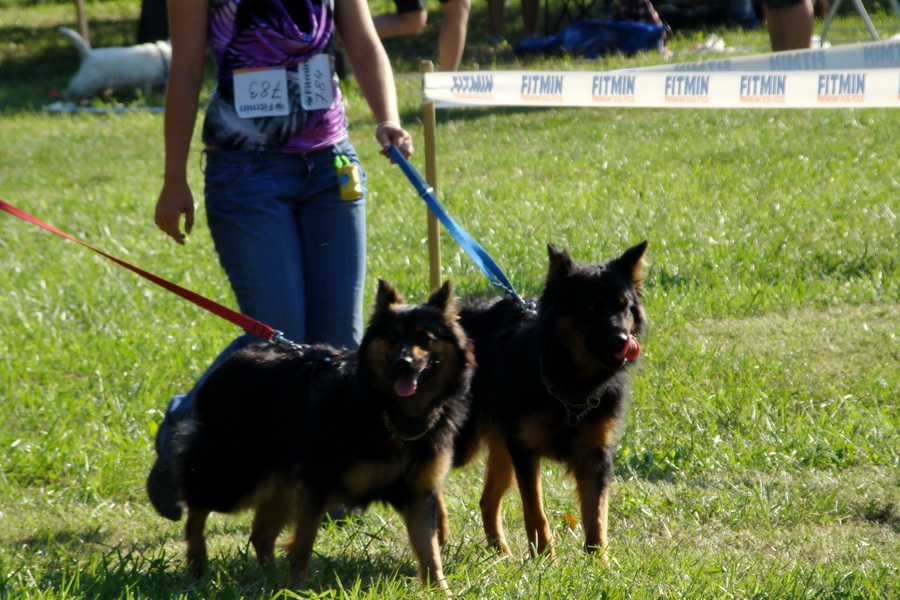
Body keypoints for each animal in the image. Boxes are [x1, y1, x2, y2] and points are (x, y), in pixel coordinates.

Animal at [171, 278, 474, 592]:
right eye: (392, 337)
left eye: (425, 339)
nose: (403, 362)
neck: (389, 410)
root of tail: (230, 362)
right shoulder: (319, 484)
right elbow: (304, 542)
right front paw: (297, 588)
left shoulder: (418, 494)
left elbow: (430, 552)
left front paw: (441, 591)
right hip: (234, 477)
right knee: (197, 507)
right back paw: (197, 562)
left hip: (281, 484)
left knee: (260, 535)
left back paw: (270, 579)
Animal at [454, 240, 652, 564]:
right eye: (590, 307)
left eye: (623, 305)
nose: (621, 340)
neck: (571, 384)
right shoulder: (524, 450)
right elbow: (535, 510)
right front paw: (545, 558)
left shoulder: (595, 455)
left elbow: (596, 514)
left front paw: (598, 563)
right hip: (463, 443)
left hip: (501, 447)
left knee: (487, 500)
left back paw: (500, 552)